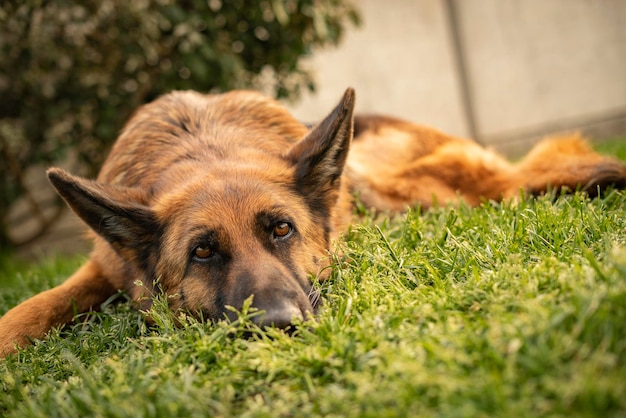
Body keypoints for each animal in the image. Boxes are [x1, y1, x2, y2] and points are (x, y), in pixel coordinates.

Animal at [1, 88, 624, 356]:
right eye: (203, 252)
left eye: (281, 229)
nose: (280, 325)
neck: (202, 143)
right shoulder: (102, 266)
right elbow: (33, 307)